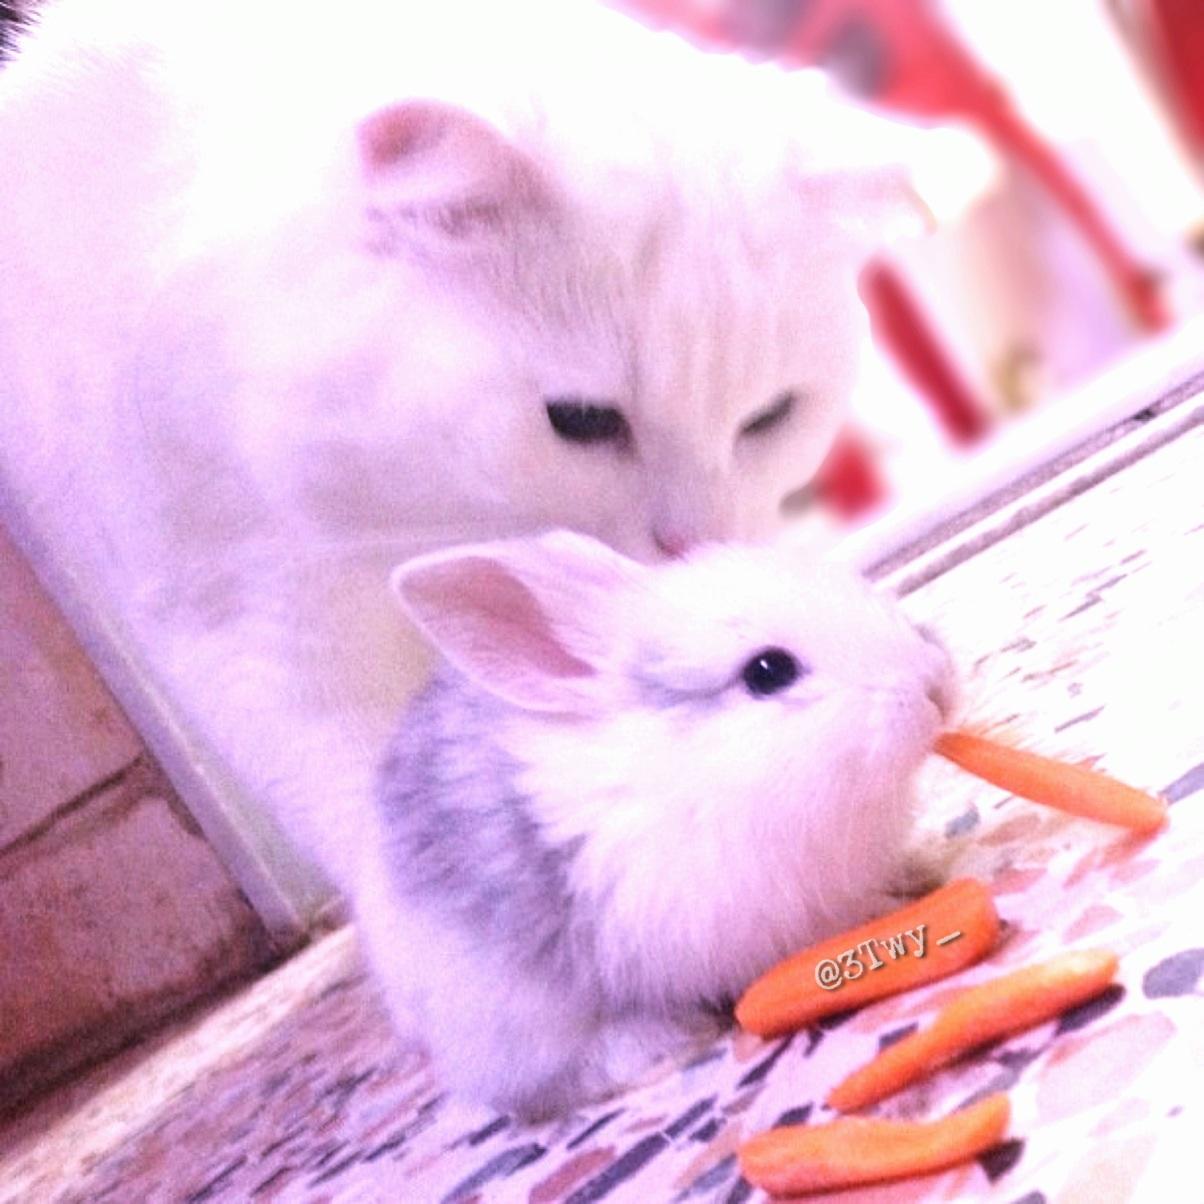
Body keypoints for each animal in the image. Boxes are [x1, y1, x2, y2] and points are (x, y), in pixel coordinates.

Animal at [347, 529, 955, 1119]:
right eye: (768, 671)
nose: (937, 685)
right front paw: (889, 912)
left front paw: (923, 868)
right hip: (517, 1015)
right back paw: (665, 1045)